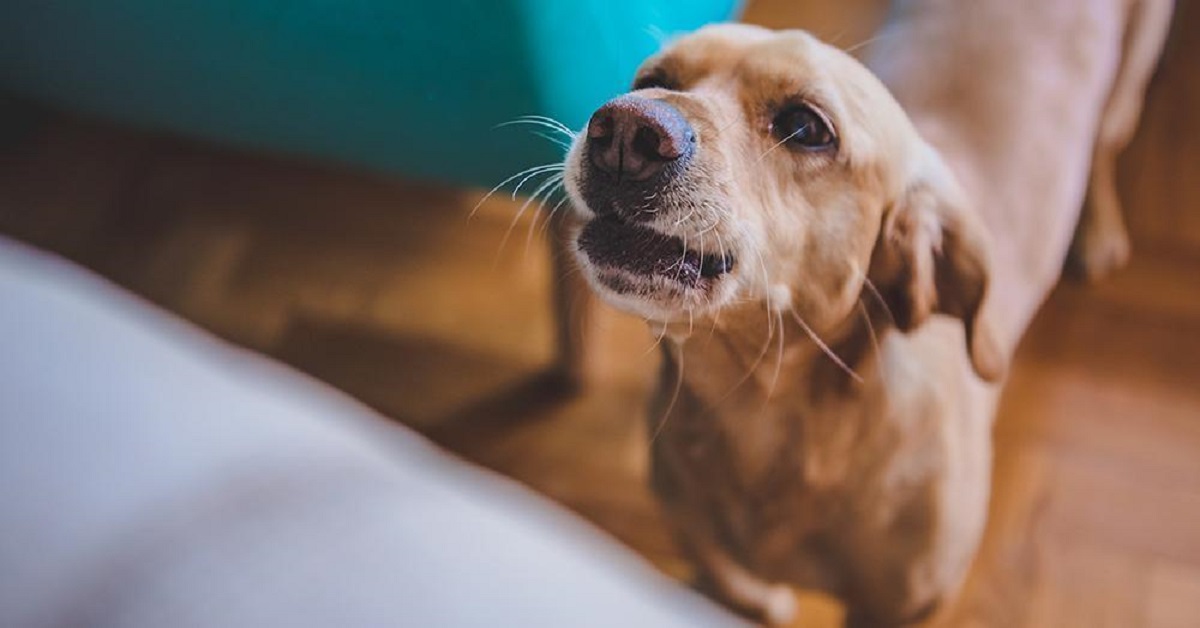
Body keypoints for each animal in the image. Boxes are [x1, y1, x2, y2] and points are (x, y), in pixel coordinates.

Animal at [549, 2, 1171, 624]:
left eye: (806, 128)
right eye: (650, 80)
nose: (623, 129)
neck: (762, 412)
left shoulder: (908, 605)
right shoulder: (701, 540)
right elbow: (742, 589)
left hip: (1131, 75)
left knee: (1106, 144)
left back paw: (1098, 230)